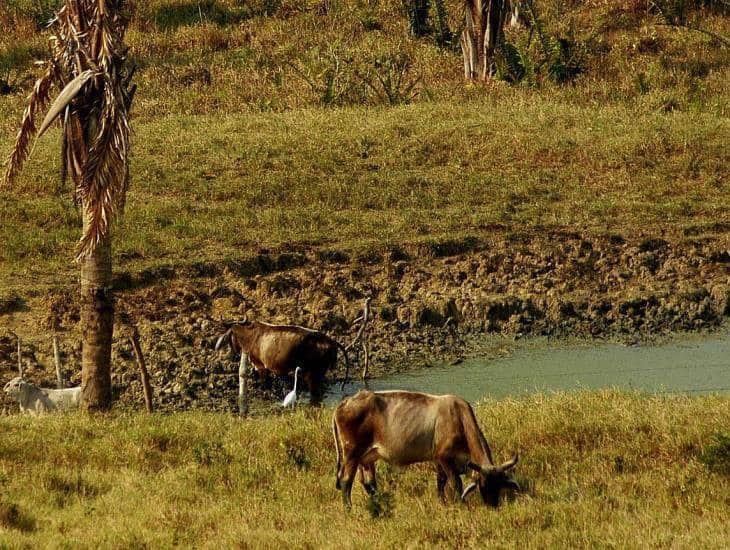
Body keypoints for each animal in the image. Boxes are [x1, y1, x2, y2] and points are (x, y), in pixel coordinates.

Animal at [212, 320, 348, 406]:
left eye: (230, 338)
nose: (233, 354)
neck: (251, 336)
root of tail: (330, 341)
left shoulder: (260, 366)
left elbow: (264, 383)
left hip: (312, 375)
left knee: (315, 395)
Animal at [330, 390, 516, 512]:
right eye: (483, 485)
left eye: (499, 485)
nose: (493, 506)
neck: (459, 418)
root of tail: (345, 402)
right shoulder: (445, 457)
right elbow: (455, 483)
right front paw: (461, 505)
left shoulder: (438, 459)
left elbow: (440, 481)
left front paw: (442, 502)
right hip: (351, 453)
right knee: (346, 481)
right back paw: (349, 509)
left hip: (367, 457)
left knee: (369, 483)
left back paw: (379, 504)